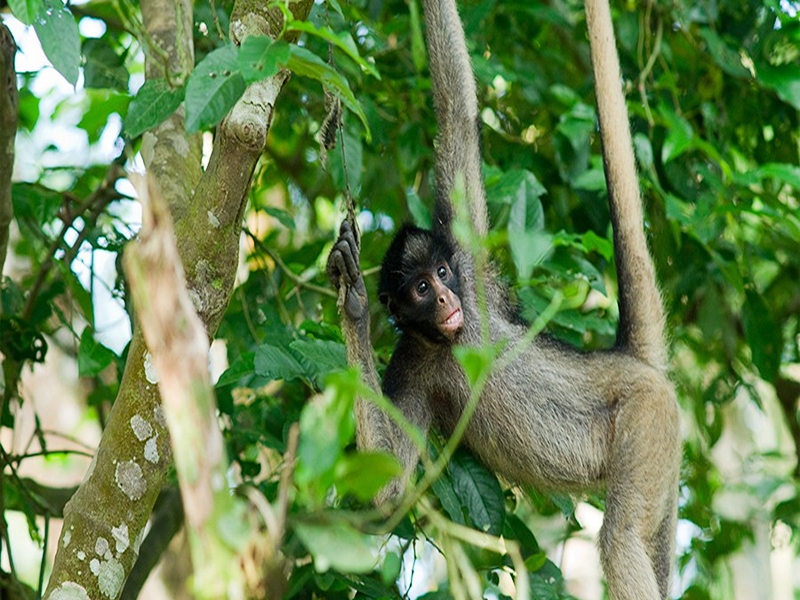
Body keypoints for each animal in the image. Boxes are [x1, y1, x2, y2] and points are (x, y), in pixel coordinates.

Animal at [326, 0, 680, 596]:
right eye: (420, 288)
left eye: (442, 272)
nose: (446, 301)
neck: (447, 340)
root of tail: (628, 360)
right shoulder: (412, 360)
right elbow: (389, 490)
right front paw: (352, 302)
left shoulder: (473, 271)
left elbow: (460, 112)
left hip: (646, 417)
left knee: (621, 537)